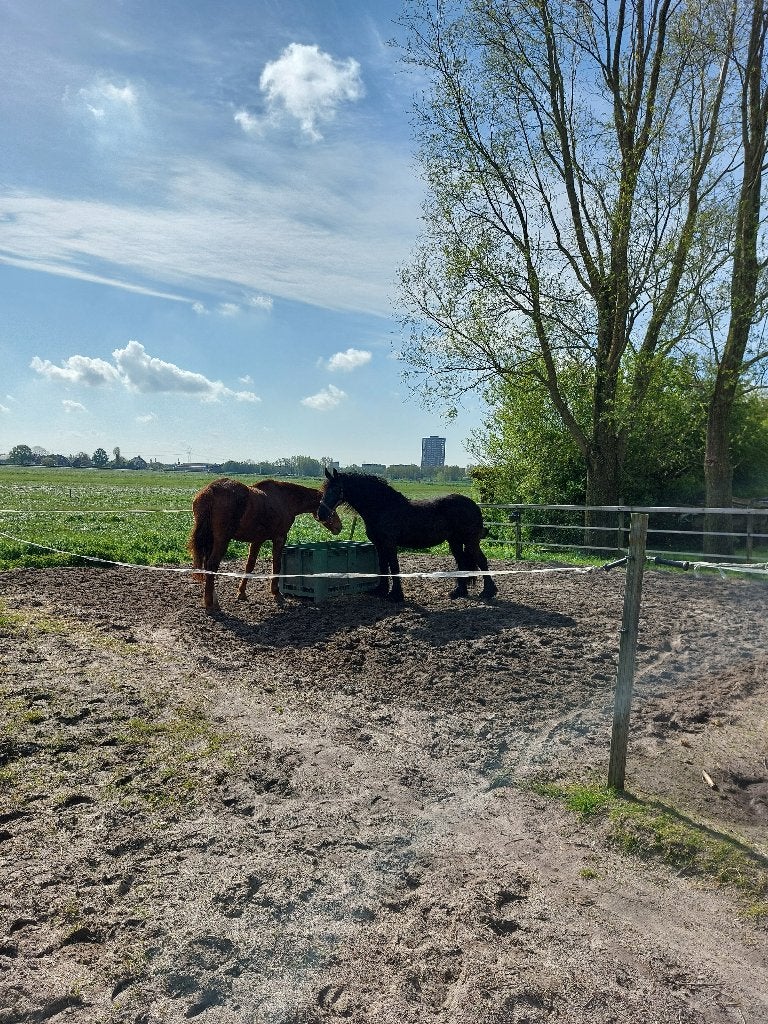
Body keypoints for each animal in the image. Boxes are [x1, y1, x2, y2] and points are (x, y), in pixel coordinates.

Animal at [188, 477, 342, 614]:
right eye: (333, 507)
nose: (339, 527)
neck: (284, 499)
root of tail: (211, 490)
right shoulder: (279, 538)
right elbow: (276, 565)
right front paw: (276, 592)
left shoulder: (257, 540)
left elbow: (249, 566)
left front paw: (242, 592)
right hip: (222, 540)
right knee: (212, 565)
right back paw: (209, 603)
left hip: (211, 540)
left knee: (208, 566)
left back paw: (213, 600)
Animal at [317, 468, 497, 603]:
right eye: (323, 490)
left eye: (336, 489)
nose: (321, 515)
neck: (383, 507)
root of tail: (473, 505)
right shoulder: (379, 545)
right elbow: (383, 566)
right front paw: (381, 591)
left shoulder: (390, 544)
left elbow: (394, 567)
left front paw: (396, 595)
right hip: (455, 541)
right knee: (462, 562)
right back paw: (459, 592)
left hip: (470, 541)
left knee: (481, 560)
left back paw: (488, 592)